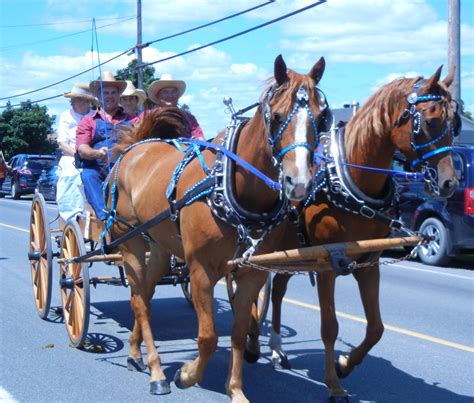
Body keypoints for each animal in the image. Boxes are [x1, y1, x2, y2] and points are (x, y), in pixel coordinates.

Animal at [109, 55, 328, 402]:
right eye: (277, 116)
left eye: (322, 118)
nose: (300, 182)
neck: (230, 187)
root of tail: (135, 147)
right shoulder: (201, 270)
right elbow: (209, 336)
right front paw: (187, 375)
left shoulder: (252, 274)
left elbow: (238, 332)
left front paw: (235, 389)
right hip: (129, 242)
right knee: (139, 301)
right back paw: (157, 372)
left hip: (159, 246)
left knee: (144, 294)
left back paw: (134, 352)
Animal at [260, 65, 460, 400]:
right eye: (431, 121)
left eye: (455, 125)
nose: (449, 183)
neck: (349, 180)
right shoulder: (327, 265)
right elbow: (329, 326)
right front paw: (334, 383)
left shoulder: (369, 263)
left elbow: (376, 327)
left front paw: (344, 364)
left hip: (292, 253)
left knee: (277, 292)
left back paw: (276, 348)